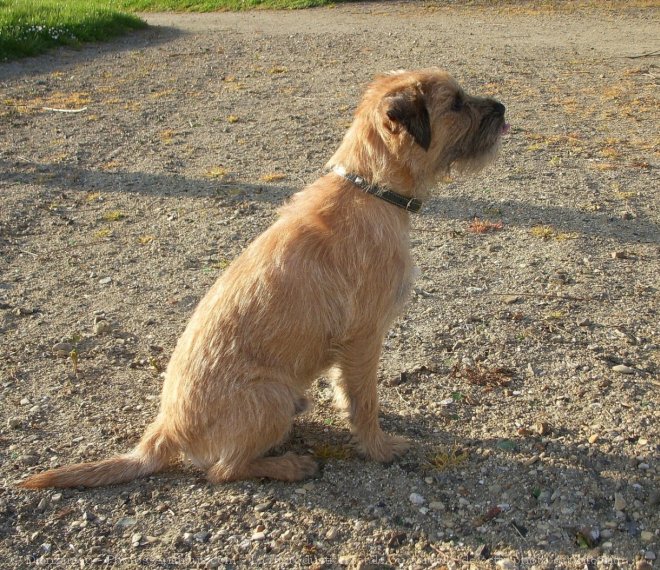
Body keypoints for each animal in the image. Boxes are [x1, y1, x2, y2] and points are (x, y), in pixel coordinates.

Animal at [19, 69, 506, 486]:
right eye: (456, 102)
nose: (502, 108)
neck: (368, 187)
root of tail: (164, 431)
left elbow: (349, 391)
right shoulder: (365, 337)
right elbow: (365, 400)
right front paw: (379, 448)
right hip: (272, 397)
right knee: (223, 471)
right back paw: (289, 465)